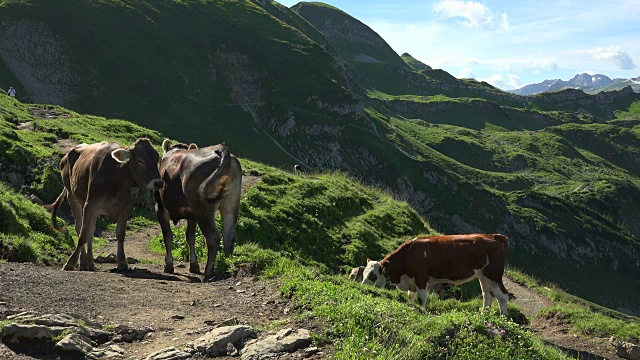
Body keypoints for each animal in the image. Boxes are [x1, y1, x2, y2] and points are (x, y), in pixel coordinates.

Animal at [49, 139, 165, 272]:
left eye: (156, 159)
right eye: (141, 161)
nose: (158, 183)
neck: (116, 177)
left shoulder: (125, 207)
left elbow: (120, 234)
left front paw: (122, 262)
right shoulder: (90, 204)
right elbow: (83, 235)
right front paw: (70, 263)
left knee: (91, 230)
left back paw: (90, 263)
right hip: (71, 195)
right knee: (79, 227)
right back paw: (82, 262)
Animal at [155, 139, 242, 282]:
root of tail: (222, 150)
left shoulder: (160, 208)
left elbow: (168, 236)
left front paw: (169, 265)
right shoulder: (191, 215)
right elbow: (190, 237)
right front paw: (194, 265)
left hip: (202, 210)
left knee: (213, 238)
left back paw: (208, 272)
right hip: (230, 203)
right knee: (229, 236)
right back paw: (224, 266)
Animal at [364, 233, 510, 316]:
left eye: (372, 275)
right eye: (364, 273)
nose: (362, 286)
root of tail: (495, 236)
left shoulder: (421, 278)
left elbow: (422, 298)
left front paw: (422, 311)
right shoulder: (412, 281)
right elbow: (411, 296)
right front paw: (411, 306)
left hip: (494, 275)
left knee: (502, 295)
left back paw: (503, 317)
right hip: (483, 276)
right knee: (487, 294)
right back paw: (484, 313)